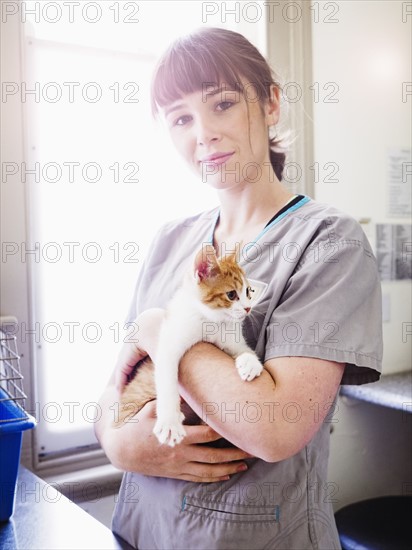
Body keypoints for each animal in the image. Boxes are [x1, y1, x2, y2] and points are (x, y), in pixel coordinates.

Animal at [114, 246, 262, 448]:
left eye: (249, 291)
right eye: (231, 294)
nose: (248, 308)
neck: (211, 321)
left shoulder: (232, 341)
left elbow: (245, 350)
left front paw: (251, 363)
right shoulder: (169, 344)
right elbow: (167, 380)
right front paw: (170, 422)